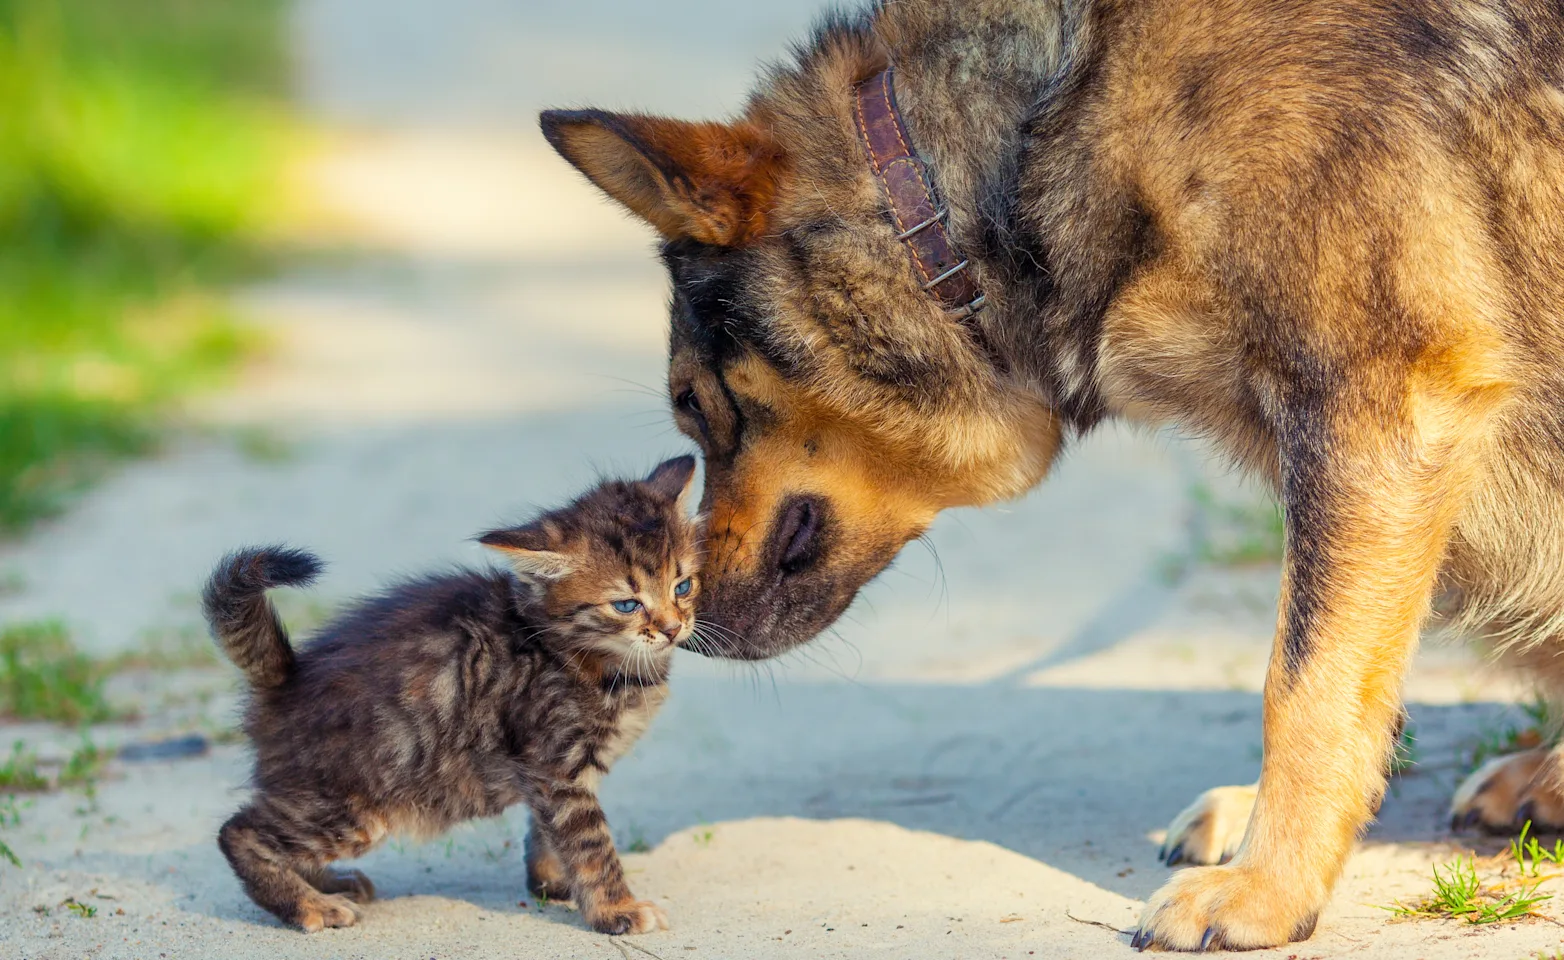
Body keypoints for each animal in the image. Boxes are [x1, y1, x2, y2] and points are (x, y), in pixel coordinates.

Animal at [203, 459, 703, 938]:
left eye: (682, 586)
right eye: (626, 605)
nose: (672, 628)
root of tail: (288, 674)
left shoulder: (549, 775)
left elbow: (547, 831)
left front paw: (552, 883)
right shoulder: (555, 765)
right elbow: (590, 843)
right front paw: (616, 910)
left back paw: (330, 884)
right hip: (352, 805)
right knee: (238, 832)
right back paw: (310, 906)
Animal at [534, 0, 1564, 950]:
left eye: (693, 404)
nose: (683, 623)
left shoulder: (1375, 413)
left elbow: (1305, 684)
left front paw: (1268, 887)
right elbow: (1333, 674)